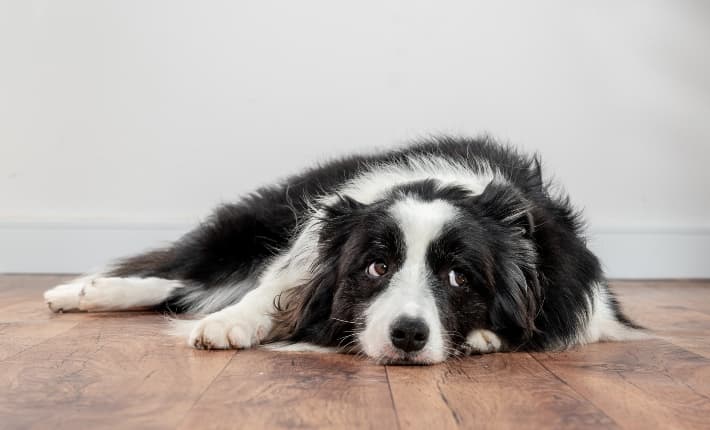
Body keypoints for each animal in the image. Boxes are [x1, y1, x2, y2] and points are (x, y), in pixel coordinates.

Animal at [44, 137, 644, 362]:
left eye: (460, 277)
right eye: (376, 266)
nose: (408, 336)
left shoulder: (588, 306)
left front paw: (481, 337)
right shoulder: (307, 247)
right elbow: (270, 292)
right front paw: (228, 324)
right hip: (250, 228)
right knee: (180, 275)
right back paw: (77, 292)